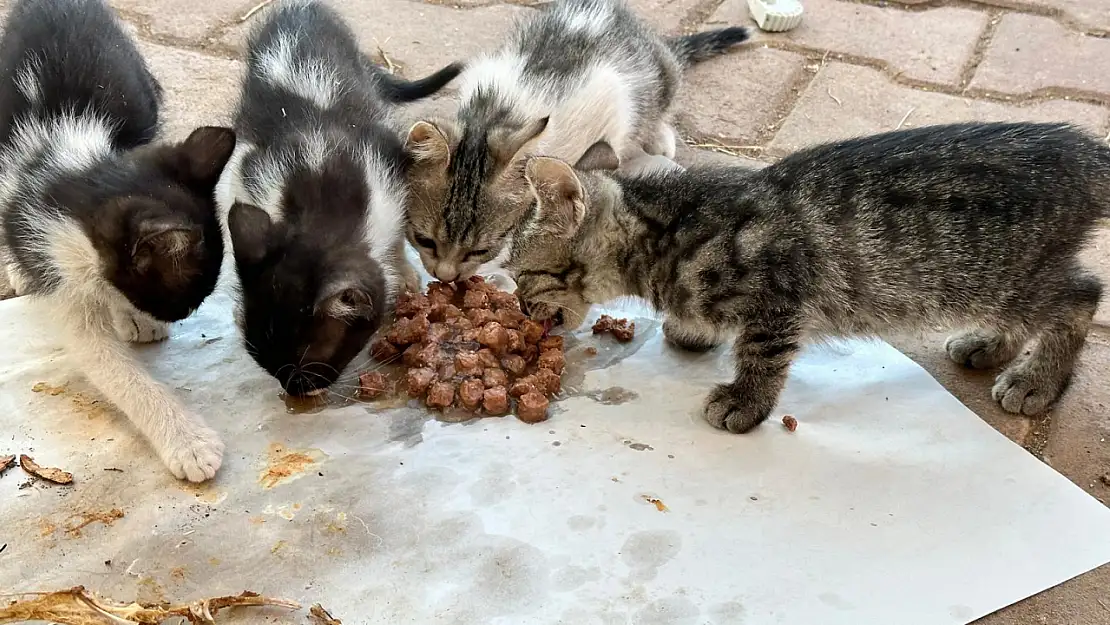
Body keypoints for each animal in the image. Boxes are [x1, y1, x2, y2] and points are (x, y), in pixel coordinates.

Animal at [0, 0, 238, 481]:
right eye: (181, 301)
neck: (68, 173)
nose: (181, 316)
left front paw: (131, 317)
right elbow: (109, 367)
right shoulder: (56, 264)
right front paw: (188, 441)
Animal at [216, 0, 463, 399]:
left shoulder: (387, 172)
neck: (324, 201)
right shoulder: (250, 171)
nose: (293, 389)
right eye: (260, 356)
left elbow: (396, 234)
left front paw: (403, 274)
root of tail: (299, 7)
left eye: (311, 358)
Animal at [404, 0, 750, 284]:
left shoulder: (608, 99)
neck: (494, 114)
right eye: (424, 240)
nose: (445, 277)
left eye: (480, 249)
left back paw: (659, 137)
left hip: (659, 77)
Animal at [506, 122, 1110, 435]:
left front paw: (744, 400)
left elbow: (762, 352)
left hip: (998, 275)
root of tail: (1082, 153)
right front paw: (692, 329)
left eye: (517, 275)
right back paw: (988, 344)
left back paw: (1035, 381)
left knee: (1081, 295)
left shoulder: (779, 291)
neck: (667, 234)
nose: (521, 311)